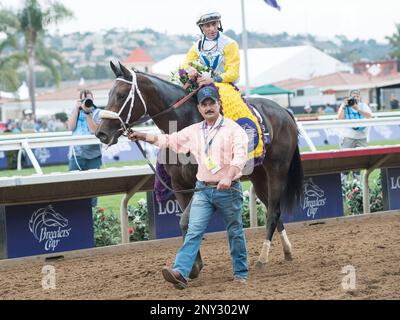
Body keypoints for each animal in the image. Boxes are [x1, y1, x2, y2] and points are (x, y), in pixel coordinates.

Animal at [96, 60, 304, 278]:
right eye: (108, 93)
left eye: (121, 95)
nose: (101, 133)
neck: (185, 123)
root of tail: (285, 111)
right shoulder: (179, 185)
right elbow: (186, 223)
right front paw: (191, 266)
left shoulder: (201, 184)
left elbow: (187, 221)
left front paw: (193, 267)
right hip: (259, 175)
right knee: (274, 210)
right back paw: (287, 251)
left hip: (277, 169)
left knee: (272, 212)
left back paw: (262, 259)